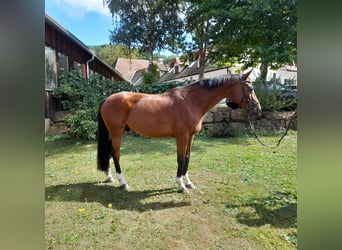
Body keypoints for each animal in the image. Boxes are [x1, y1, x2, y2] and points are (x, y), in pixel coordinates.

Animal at [97, 70, 262, 193]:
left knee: (109, 153)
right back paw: (123, 183)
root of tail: (107, 99)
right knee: (116, 155)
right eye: (250, 89)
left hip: (116, 133)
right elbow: (181, 159)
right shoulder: (181, 136)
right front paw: (181, 185)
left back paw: (110, 177)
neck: (191, 102)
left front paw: (188, 182)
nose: (258, 110)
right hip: (117, 133)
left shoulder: (190, 136)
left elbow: (187, 158)